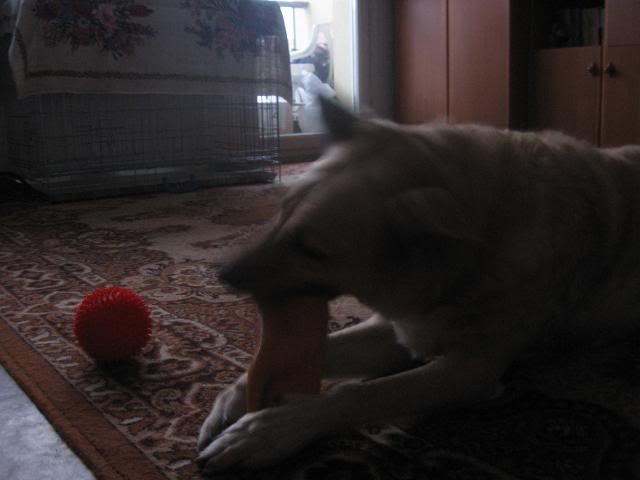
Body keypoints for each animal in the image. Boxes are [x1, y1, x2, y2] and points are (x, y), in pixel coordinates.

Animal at [196, 98, 640, 472]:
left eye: (312, 249)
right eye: (281, 210)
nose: (221, 274)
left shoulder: (468, 372)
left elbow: (358, 395)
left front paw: (273, 428)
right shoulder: (400, 328)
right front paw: (232, 398)